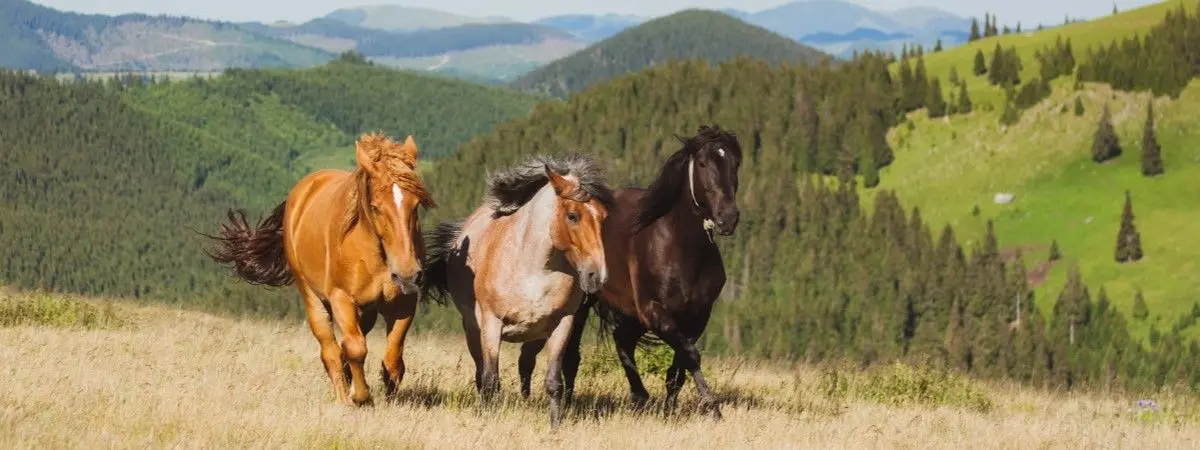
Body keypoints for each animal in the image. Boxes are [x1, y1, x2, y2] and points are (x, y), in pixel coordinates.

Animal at [202, 132, 437, 407]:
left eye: (416, 204)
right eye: (376, 207)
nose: (408, 274)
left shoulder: (403, 303)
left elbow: (393, 359)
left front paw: (389, 397)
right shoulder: (341, 298)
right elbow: (355, 348)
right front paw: (361, 396)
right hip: (313, 298)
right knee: (331, 351)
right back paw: (344, 396)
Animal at [422, 154, 615, 428]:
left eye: (603, 216)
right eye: (573, 216)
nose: (596, 276)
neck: (533, 271)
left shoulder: (562, 324)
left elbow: (554, 381)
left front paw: (555, 427)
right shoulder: (491, 324)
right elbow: (490, 380)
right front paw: (487, 421)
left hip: (536, 337)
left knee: (526, 363)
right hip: (473, 330)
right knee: (482, 373)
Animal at [517, 125, 742, 419]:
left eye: (735, 163)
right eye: (703, 163)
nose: (728, 218)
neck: (680, 248)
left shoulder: (697, 316)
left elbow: (679, 364)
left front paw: (671, 408)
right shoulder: (654, 311)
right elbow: (691, 355)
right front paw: (713, 408)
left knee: (621, 339)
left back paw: (639, 396)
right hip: (585, 305)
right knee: (574, 355)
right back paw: (570, 401)